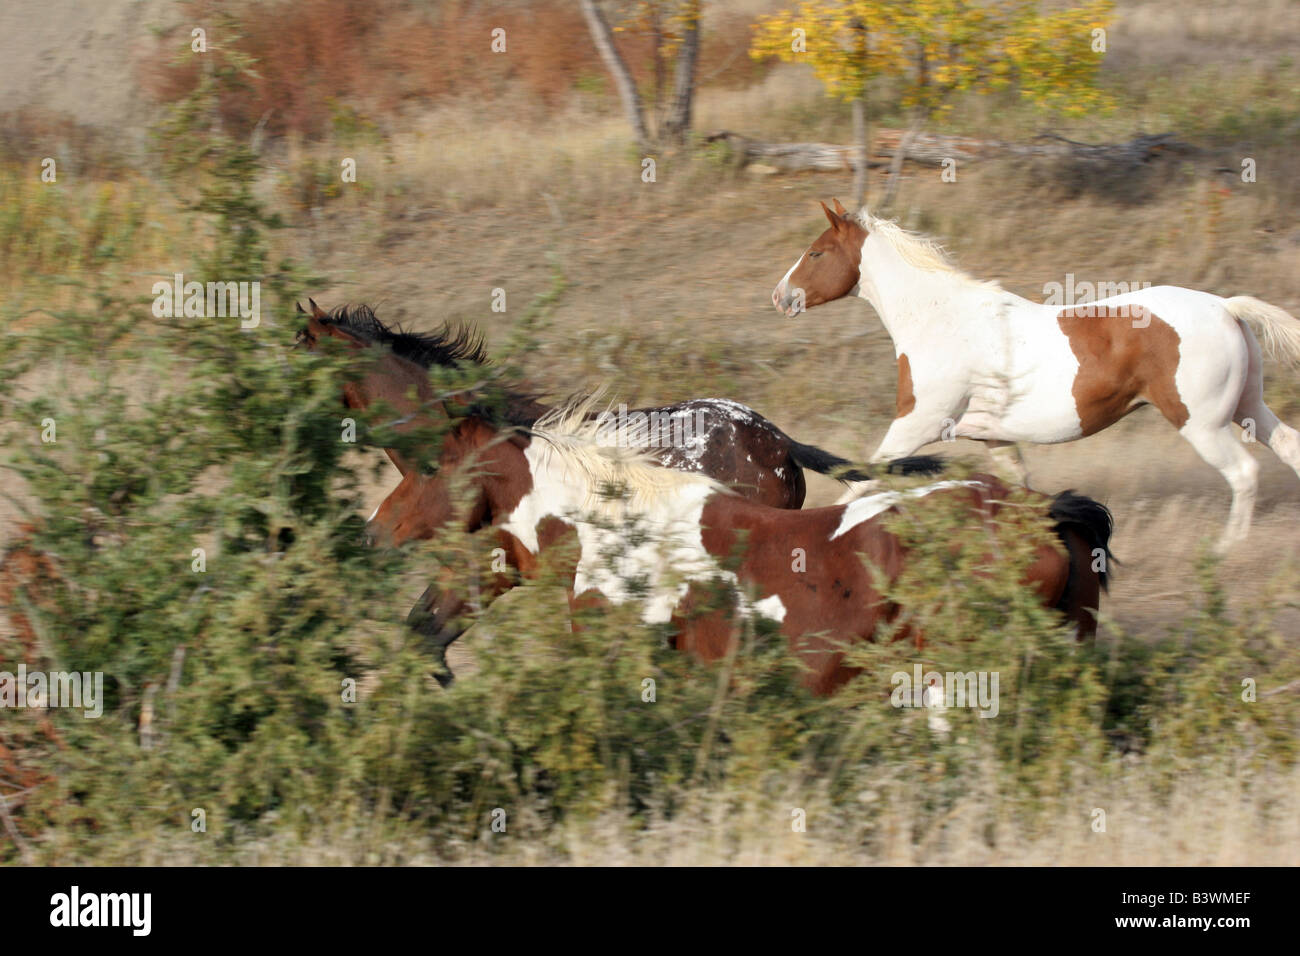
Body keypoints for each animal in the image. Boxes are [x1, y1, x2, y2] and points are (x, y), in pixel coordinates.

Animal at [769, 200, 1300, 554]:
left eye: (816, 253)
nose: (779, 296)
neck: (940, 319)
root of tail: (1226, 308)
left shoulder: (918, 424)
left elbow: (863, 477)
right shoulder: (994, 438)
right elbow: (1018, 491)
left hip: (1201, 423)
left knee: (1244, 473)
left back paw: (1227, 550)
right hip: (1249, 408)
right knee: (1289, 448)